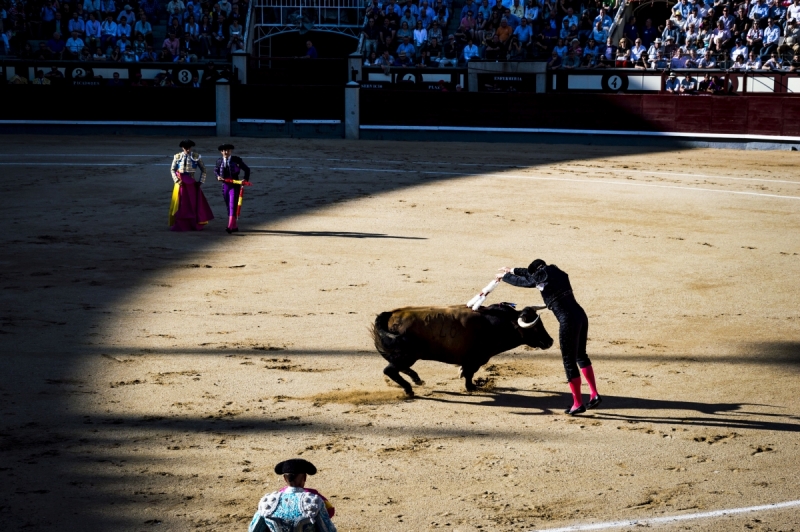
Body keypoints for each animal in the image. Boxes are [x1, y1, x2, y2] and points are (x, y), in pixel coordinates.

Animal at [372, 304, 552, 394]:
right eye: (535, 328)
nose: (550, 341)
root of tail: (390, 314)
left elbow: (466, 372)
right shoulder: (475, 359)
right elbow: (469, 373)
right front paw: (471, 387)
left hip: (404, 356)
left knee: (400, 369)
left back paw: (417, 380)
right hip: (406, 355)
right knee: (390, 370)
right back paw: (409, 390)